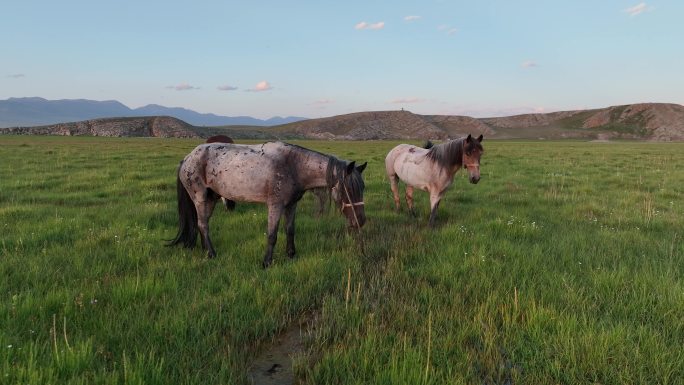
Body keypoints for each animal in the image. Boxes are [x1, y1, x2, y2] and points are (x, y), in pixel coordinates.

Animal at [168, 141, 366, 268]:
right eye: (348, 189)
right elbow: (272, 235)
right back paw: (211, 254)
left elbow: (290, 230)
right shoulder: (275, 205)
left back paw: (205, 250)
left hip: (211, 199)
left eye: (362, 187)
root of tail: (187, 158)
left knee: (202, 225)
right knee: (203, 225)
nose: (360, 221)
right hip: (200, 198)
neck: (294, 166)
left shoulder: (291, 205)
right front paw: (266, 262)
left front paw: (291, 254)